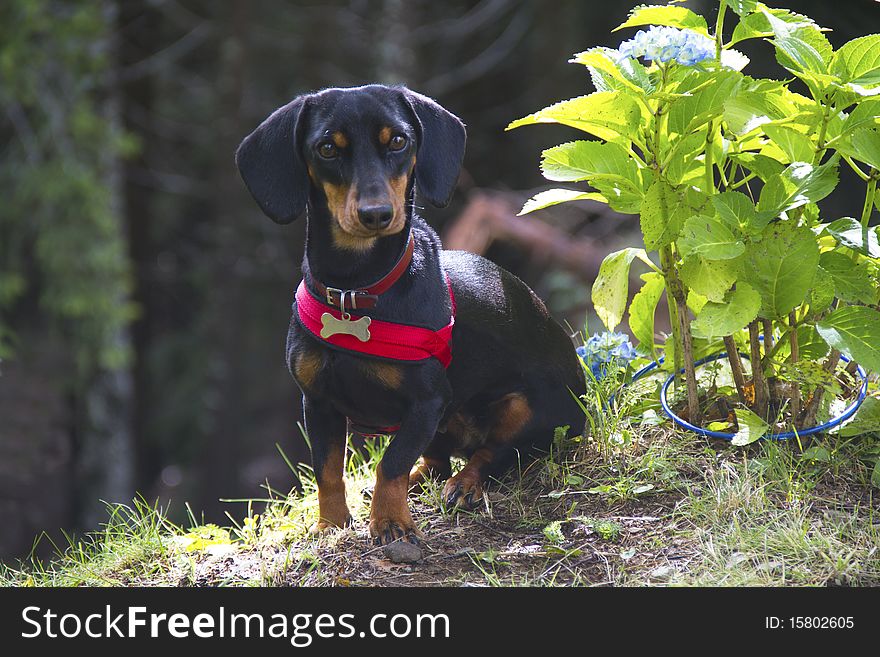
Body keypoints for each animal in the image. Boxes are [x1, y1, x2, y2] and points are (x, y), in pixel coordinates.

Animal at [237, 84, 588, 544]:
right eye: (327, 148)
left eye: (399, 142)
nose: (376, 215)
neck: (356, 290)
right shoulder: (317, 402)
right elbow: (328, 470)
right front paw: (331, 524)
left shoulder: (427, 403)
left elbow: (391, 464)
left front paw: (391, 525)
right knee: (436, 462)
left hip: (527, 410)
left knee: (491, 454)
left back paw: (465, 485)